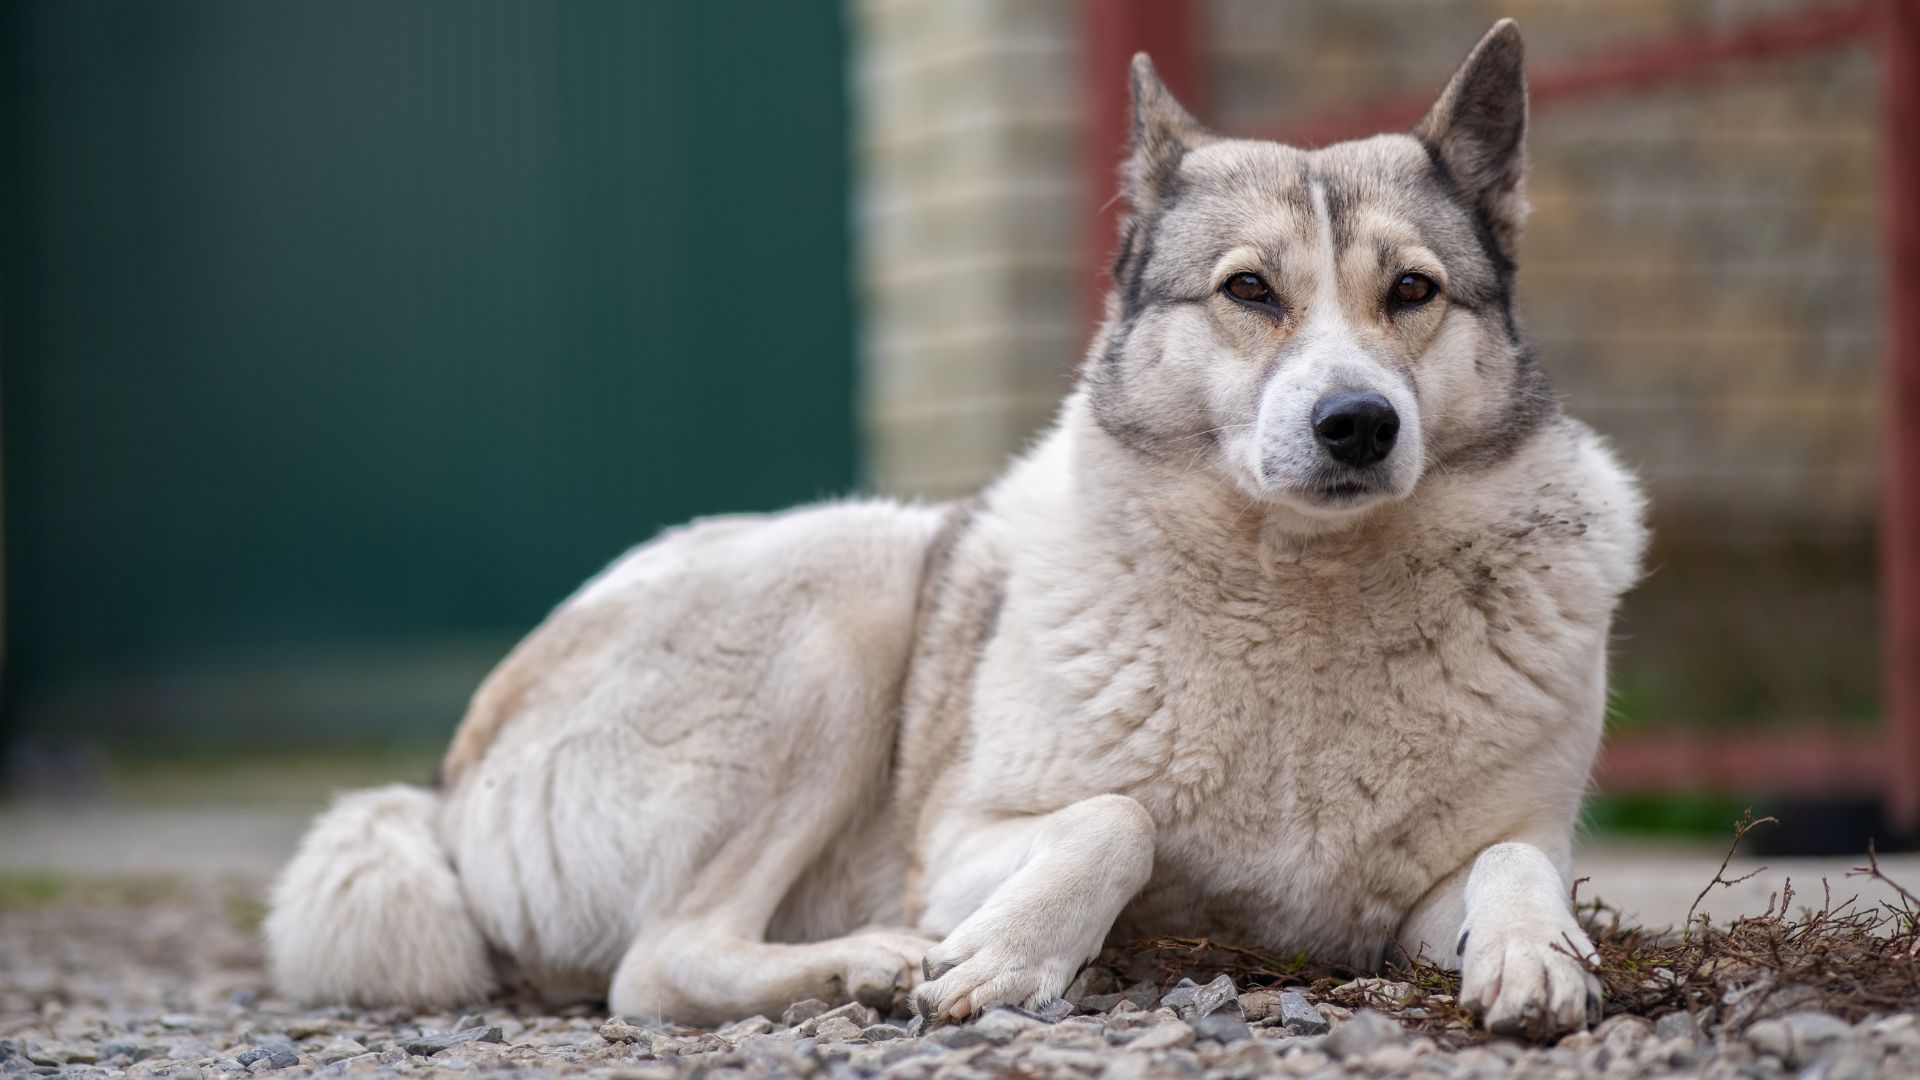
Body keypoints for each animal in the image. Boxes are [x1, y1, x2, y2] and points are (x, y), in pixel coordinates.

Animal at [266, 21, 1651, 1037]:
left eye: (1412, 292)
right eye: (1250, 291)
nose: (1358, 423)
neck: (1309, 587)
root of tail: (446, 785)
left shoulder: (1432, 887)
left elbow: (1516, 862)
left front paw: (1538, 958)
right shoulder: (962, 841)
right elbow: (1116, 820)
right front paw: (1000, 958)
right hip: (847, 588)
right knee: (656, 964)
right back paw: (867, 963)